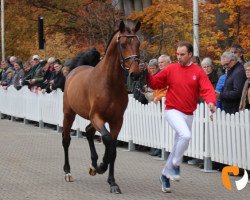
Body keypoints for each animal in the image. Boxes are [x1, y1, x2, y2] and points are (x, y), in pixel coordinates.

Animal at [62, 20, 141, 194]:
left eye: (138, 43)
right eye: (123, 44)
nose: (136, 74)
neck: (109, 83)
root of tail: (75, 71)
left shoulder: (117, 120)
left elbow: (113, 149)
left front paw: (112, 182)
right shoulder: (97, 117)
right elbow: (106, 138)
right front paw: (101, 166)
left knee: (89, 131)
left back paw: (93, 165)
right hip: (69, 114)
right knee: (66, 139)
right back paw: (68, 172)